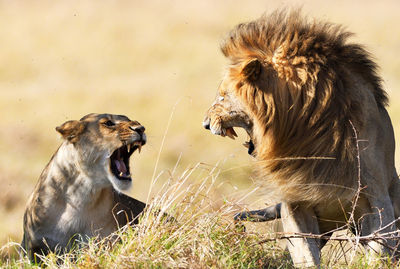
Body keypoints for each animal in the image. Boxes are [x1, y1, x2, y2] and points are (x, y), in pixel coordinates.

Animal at [21, 112, 147, 260]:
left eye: (132, 120)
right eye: (109, 123)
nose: (141, 129)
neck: (81, 194)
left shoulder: (105, 242)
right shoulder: (32, 246)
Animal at [205, 10, 398, 266]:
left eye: (223, 96)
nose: (205, 124)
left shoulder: (376, 201)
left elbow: (380, 251)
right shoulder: (295, 203)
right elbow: (306, 254)